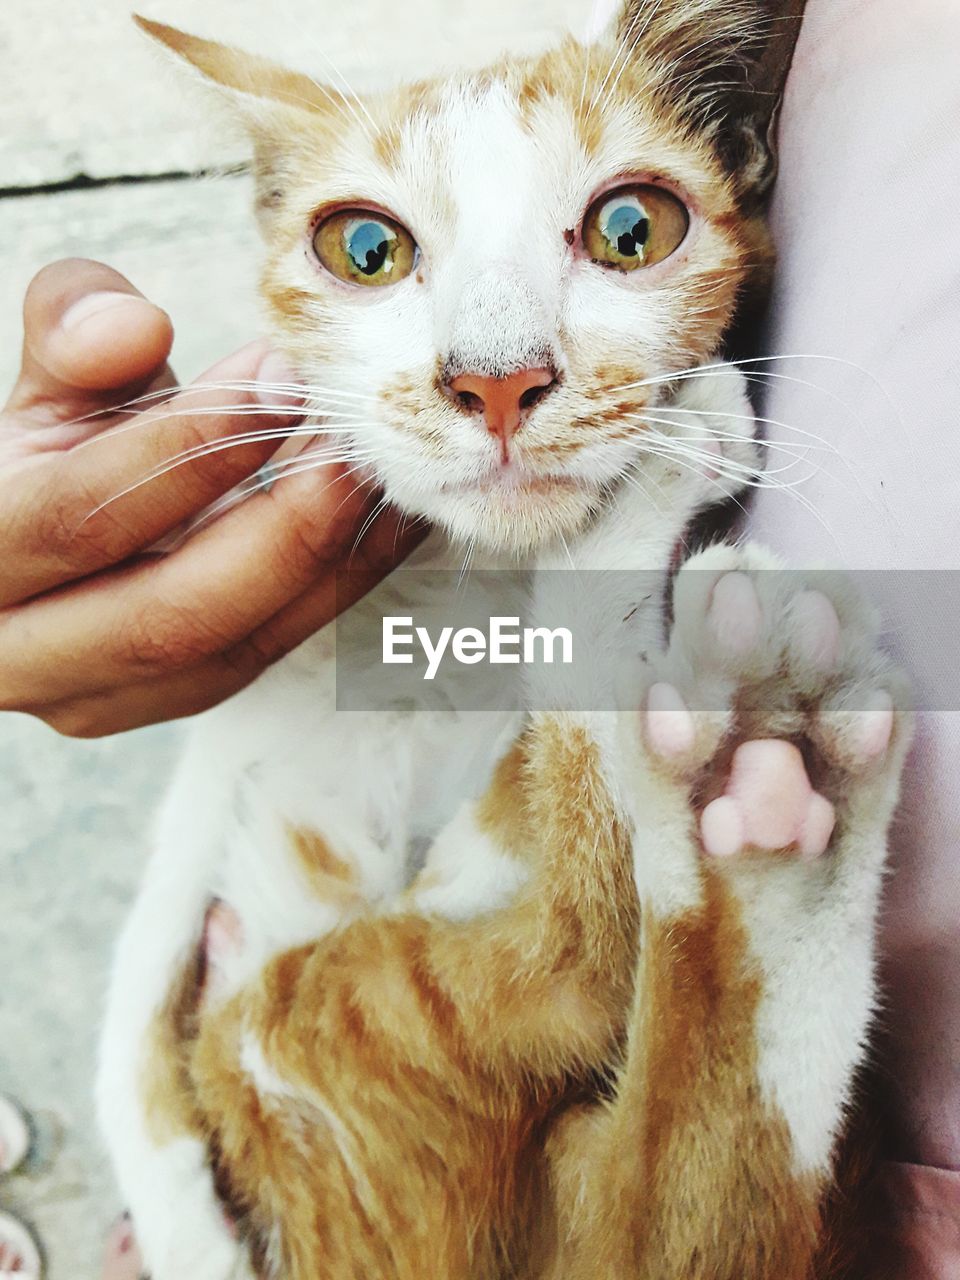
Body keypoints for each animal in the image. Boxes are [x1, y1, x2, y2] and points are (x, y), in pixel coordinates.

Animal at [94, 2, 911, 1280]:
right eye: (364, 249)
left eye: (632, 229)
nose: (496, 380)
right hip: (325, 1022)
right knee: (572, 1014)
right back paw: (765, 781)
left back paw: (767, 783)